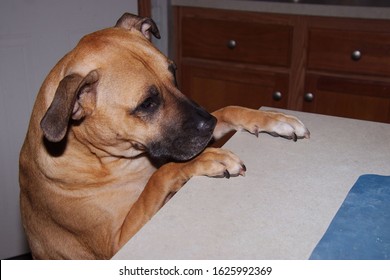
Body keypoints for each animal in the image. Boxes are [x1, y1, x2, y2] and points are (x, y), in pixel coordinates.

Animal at [18, 12, 310, 258]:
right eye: (147, 103)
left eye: (173, 72)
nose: (209, 124)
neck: (99, 157)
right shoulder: (119, 241)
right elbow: (160, 176)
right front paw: (207, 159)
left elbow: (229, 109)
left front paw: (274, 119)